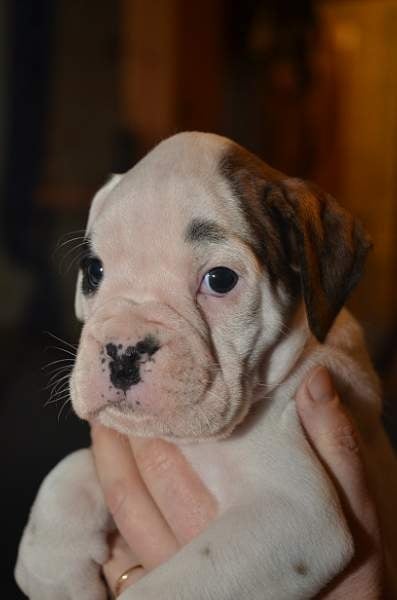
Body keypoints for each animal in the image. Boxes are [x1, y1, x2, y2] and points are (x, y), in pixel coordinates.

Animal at [14, 132, 396, 600]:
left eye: (220, 280)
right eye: (93, 270)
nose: (123, 350)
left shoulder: (293, 515)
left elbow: (162, 588)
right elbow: (72, 465)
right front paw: (49, 558)